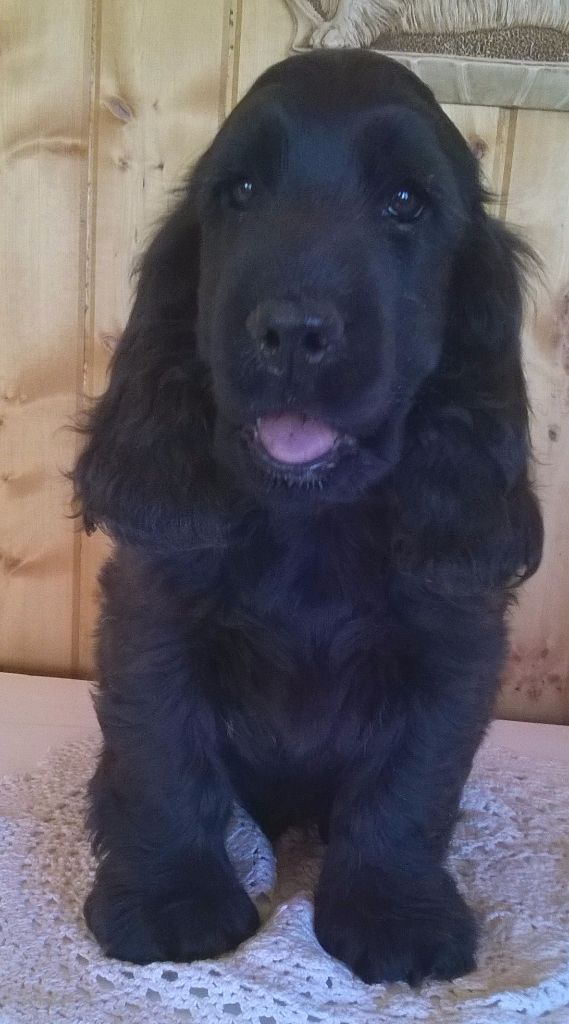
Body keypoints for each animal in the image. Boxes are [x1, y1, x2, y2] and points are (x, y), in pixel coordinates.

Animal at [73, 50, 543, 984]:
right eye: (241, 191)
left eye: (404, 202)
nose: (291, 331)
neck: (311, 524)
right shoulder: (150, 617)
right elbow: (162, 759)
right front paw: (169, 898)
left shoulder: (454, 650)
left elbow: (408, 787)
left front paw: (394, 912)